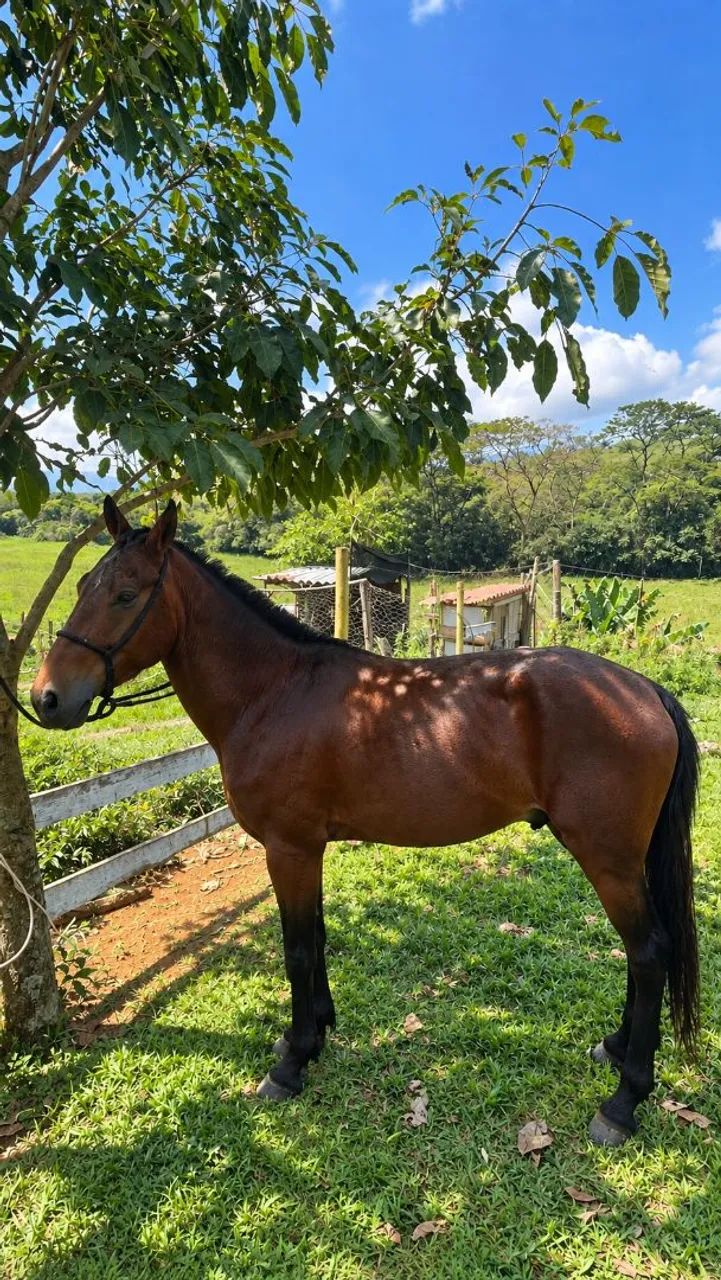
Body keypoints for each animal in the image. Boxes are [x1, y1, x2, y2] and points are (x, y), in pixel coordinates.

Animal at [31, 497, 700, 1147]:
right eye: (84, 584)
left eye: (125, 594)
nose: (46, 698)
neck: (273, 692)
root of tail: (642, 689)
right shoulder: (309, 849)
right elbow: (319, 936)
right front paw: (316, 1030)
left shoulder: (289, 848)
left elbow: (298, 948)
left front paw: (293, 1061)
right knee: (643, 952)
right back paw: (615, 1049)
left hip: (607, 858)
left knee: (647, 951)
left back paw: (624, 1101)